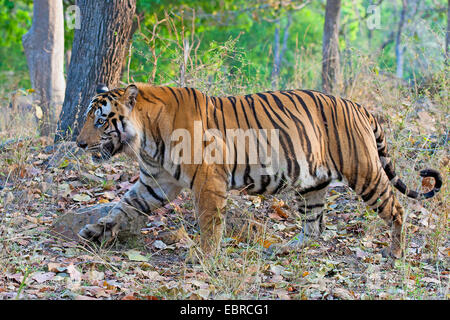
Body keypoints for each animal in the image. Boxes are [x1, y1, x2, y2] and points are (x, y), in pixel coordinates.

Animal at [75, 82, 442, 260]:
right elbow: (123, 207)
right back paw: (285, 248)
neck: (147, 136)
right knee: (314, 228)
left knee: (396, 208)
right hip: (311, 182)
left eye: (100, 121)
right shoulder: (156, 182)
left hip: (364, 172)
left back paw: (395, 252)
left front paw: (204, 256)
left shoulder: (208, 180)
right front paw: (95, 231)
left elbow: (209, 222)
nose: (78, 143)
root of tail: (359, 106)